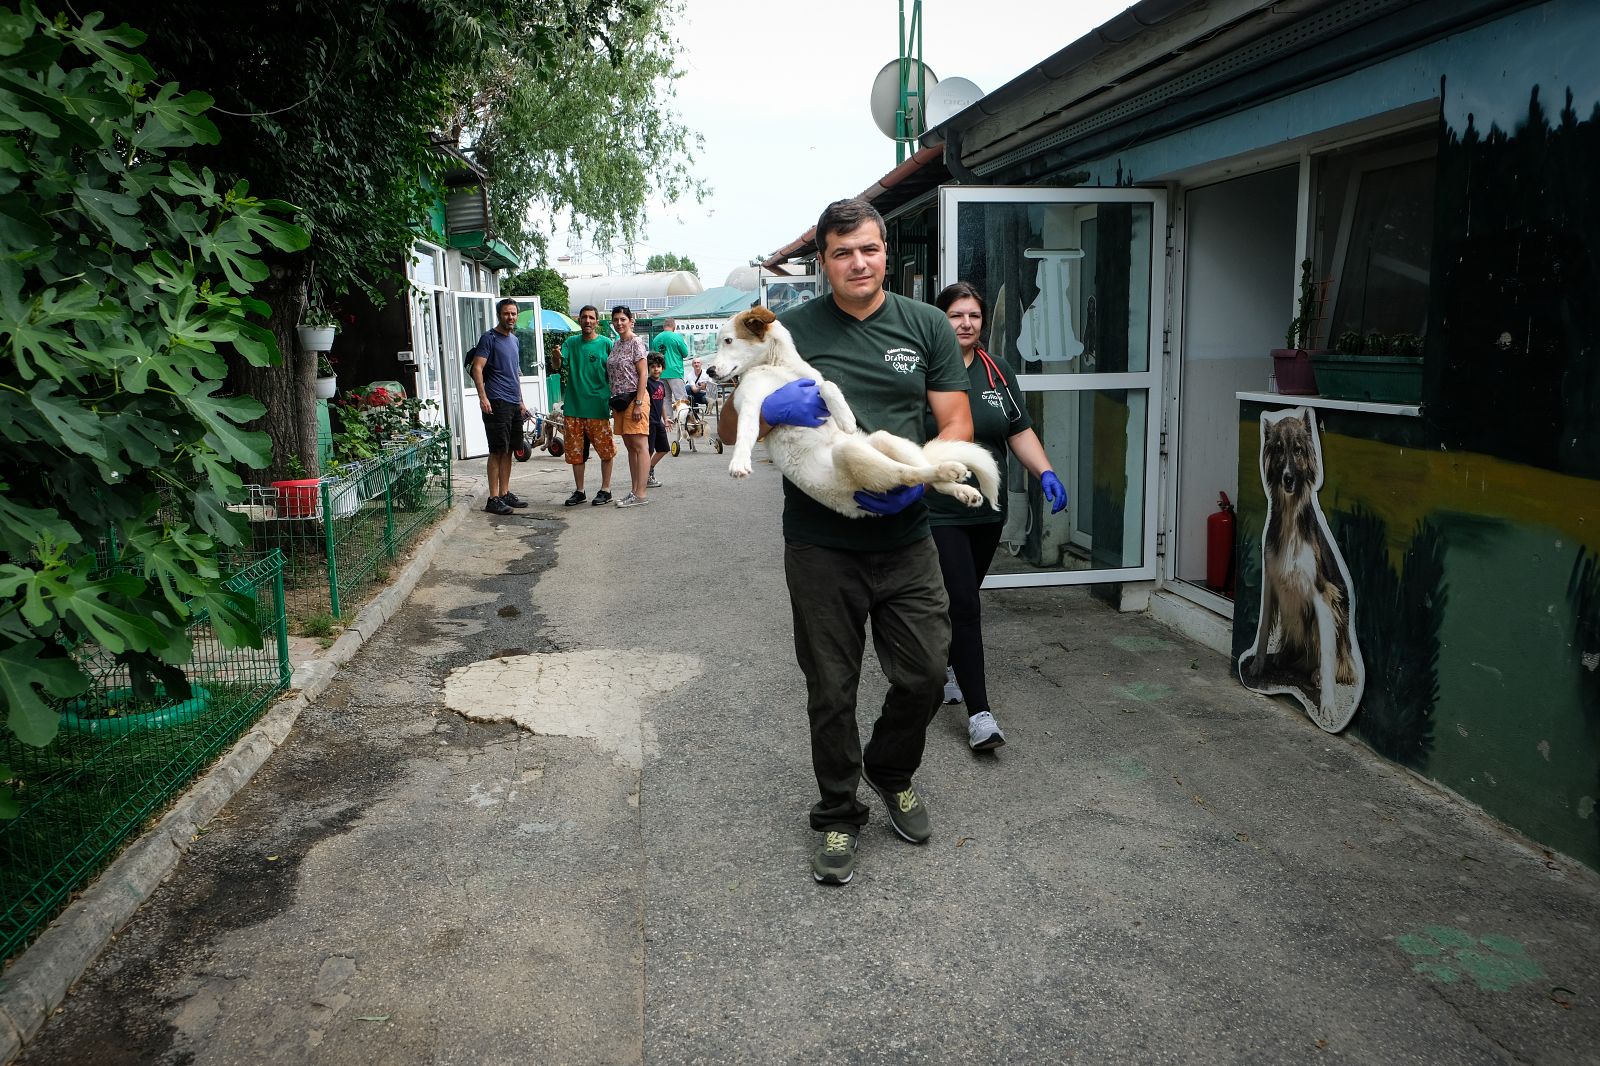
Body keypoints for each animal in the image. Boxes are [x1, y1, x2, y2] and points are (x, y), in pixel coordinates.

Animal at [707, 306, 1000, 519]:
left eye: (728, 340)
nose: (709, 371)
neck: (779, 366)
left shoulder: (811, 382)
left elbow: (828, 384)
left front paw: (845, 418)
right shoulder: (751, 400)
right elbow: (745, 431)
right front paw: (739, 461)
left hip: (882, 440)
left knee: (919, 471)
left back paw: (959, 485)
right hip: (851, 455)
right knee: (908, 475)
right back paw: (949, 471)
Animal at [1238, 407, 1363, 730]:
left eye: (1297, 450)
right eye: (1278, 449)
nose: (1288, 479)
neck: (1290, 517)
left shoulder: (1323, 593)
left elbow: (1328, 656)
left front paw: (1328, 706)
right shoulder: (1271, 580)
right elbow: (1262, 627)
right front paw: (1257, 665)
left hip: (1338, 610)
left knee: (1334, 659)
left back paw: (1318, 673)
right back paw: (1283, 657)